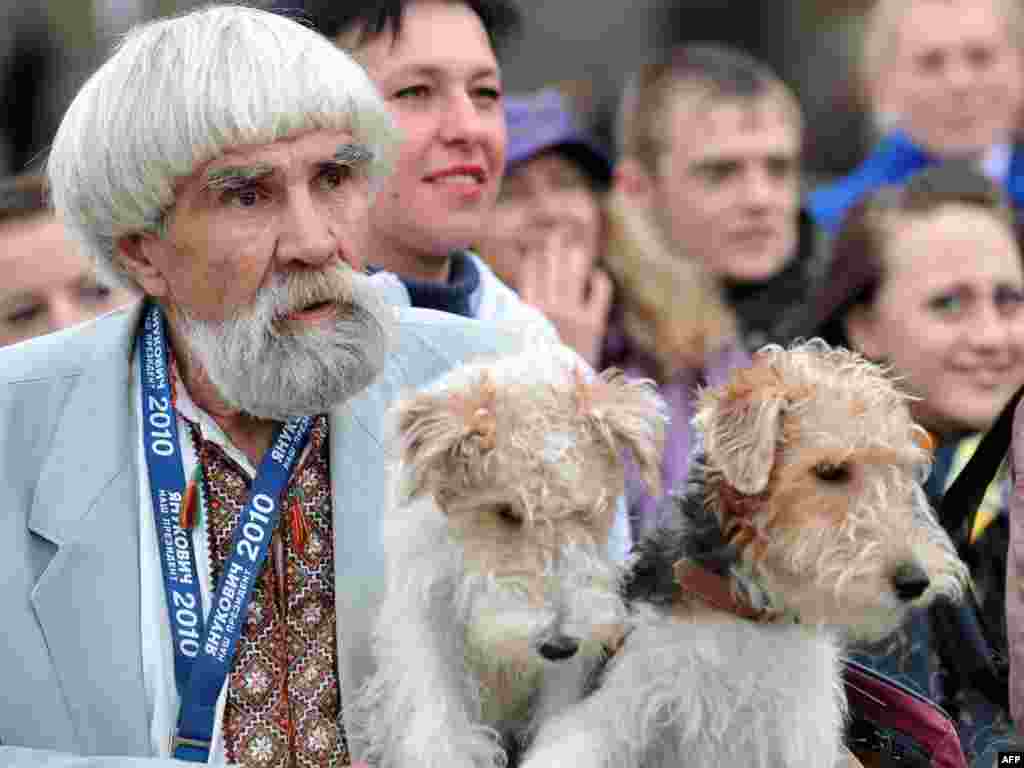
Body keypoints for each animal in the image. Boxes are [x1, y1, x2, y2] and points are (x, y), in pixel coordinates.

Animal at [356, 348, 667, 768]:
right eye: (506, 511)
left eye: (585, 511)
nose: (558, 645)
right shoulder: (426, 614)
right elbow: (440, 728)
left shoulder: (569, 668)